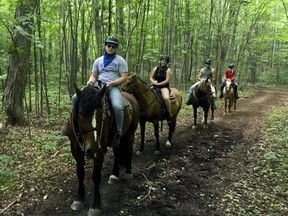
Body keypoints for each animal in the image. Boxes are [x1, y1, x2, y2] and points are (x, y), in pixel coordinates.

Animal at [65, 84, 138, 216]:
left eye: (101, 114)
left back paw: (128, 172)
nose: (91, 150)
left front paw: (95, 205)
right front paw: (79, 198)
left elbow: (96, 176)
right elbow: (80, 173)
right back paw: (114, 174)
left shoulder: (99, 151)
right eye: (81, 113)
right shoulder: (75, 149)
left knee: (129, 149)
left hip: (130, 134)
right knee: (117, 152)